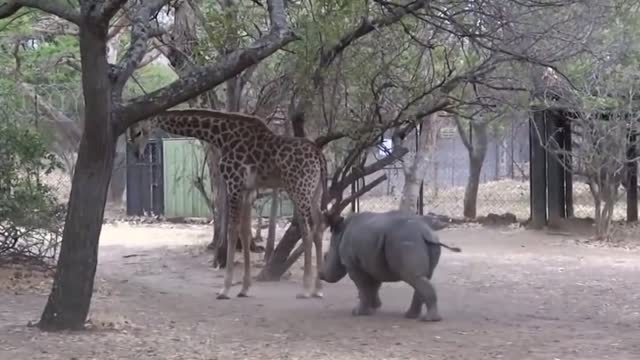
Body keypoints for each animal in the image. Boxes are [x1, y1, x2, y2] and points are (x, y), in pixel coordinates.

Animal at [128, 108, 330, 300]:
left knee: (306, 228)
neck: (221, 137)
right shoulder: (248, 190)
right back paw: (318, 289)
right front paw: (244, 289)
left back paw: (306, 290)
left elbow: (232, 231)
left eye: (138, 132)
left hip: (299, 188)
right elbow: (244, 231)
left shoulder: (234, 184)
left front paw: (224, 289)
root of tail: (319, 155)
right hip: (314, 191)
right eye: (130, 133)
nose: (137, 154)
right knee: (319, 226)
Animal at [318, 210, 460, 322]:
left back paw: (429, 320)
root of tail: (425, 233)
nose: (320, 274)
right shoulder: (372, 261)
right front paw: (375, 307)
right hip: (419, 241)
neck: (340, 233)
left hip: (405, 240)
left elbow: (362, 286)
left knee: (413, 277)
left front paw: (358, 313)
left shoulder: (353, 265)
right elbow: (373, 286)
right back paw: (412, 316)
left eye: (325, 256)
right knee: (422, 277)